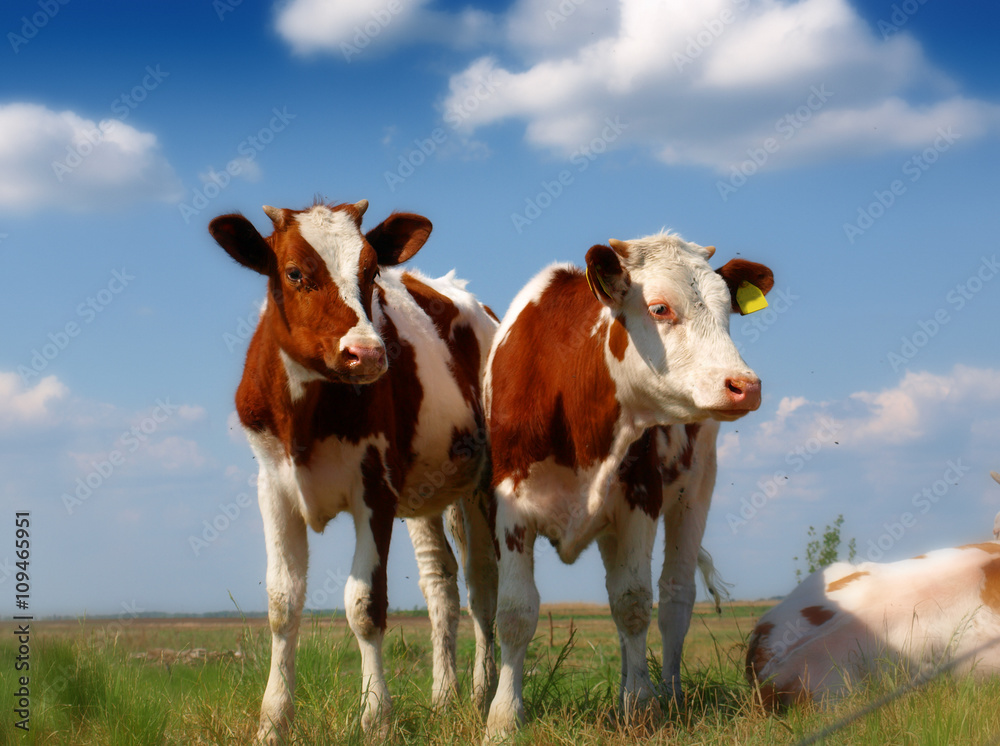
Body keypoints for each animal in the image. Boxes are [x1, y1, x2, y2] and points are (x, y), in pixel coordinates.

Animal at [484, 234, 772, 732]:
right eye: (659, 308)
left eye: (728, 311)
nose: (745, 385)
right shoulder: (510, 506)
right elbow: (516, 611)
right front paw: (503, 717)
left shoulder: (642, 499)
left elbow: (634, 603)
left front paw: (641, 705)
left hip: (695, 493)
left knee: (675, 599)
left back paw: (669, 693)